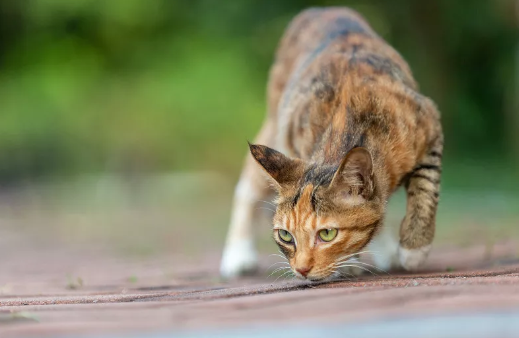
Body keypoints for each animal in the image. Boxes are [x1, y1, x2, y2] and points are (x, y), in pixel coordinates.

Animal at [219, 6, 442, 282]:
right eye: (286, 236)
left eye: (327, 234)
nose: (301, 270)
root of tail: (322, 8)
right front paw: (350, 262)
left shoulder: (430, 125)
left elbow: (426, 189)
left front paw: (414, 249)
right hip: (277, 127)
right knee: (247, 186)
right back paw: (237, 255)